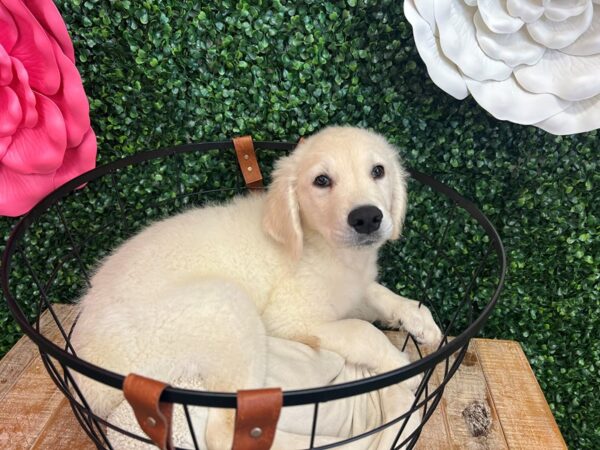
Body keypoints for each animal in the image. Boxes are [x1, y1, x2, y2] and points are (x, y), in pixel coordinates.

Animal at [72, 125, 442, 446]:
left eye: (378, 171)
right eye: (321, 181)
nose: (367, 218)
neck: (319, 245)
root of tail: (85, 378)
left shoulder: (352, 289)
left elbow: (379, 293)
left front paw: (420, 320)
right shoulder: (289, 319)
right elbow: (361, 330)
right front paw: (401, 367)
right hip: (225, 308)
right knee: (227, 432)